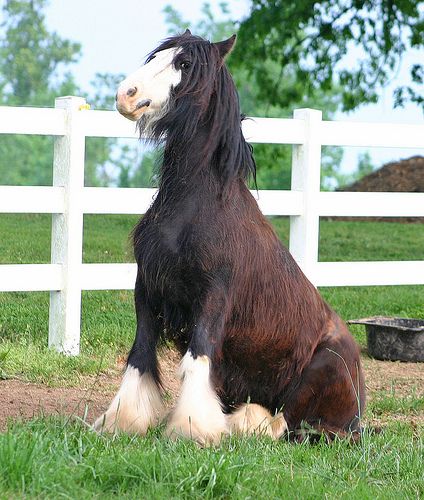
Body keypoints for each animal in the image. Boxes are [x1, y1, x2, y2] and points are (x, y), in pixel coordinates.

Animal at [93, 30, 364, 446]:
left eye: (184, 63)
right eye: (157, 56)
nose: (126, 94)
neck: (194, 205)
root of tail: (360, 409)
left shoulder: (213, 298)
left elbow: (197, 357)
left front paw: (194, 429)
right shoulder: (147, 289)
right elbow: (139, 356)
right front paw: (122, 421)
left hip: (323, 373)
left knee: (290, 423)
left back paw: (244, 423)